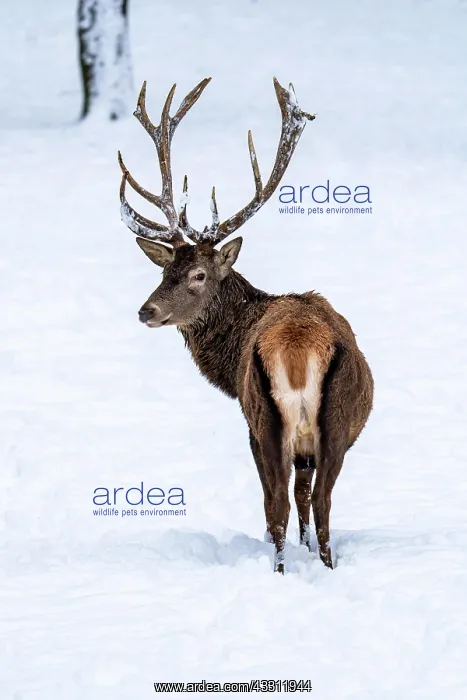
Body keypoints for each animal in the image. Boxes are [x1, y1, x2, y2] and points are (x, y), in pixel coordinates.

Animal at [117, 77, 374, 573]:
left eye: (198, 275)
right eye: (165, 270)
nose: (146, 311)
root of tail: (297, 348)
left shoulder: (262, 425)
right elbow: (302, 496)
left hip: (274, 421)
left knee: (285, 501)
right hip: (308, 423)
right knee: (310, 502)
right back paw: (312, 566)